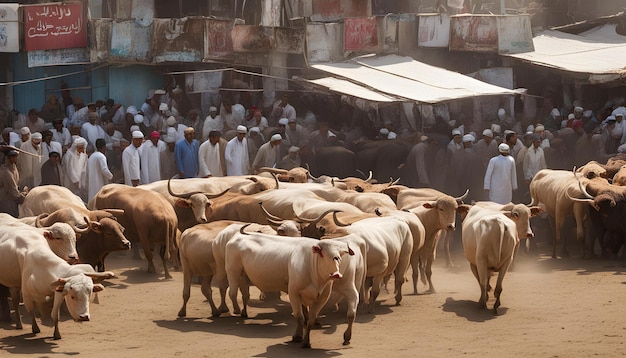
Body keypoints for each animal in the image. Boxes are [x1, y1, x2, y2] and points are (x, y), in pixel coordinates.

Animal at [223, 234, 352, 348]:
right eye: (324, 254)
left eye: (340, 255)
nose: (336, 274)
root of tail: (236, 236)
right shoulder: (293, 293)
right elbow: (299, 316)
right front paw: (297, 336)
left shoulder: (322, 298)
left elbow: (310, 320)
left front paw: (306, 341)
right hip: (232, 271)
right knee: (232, 292)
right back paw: (236, 310)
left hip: (242, 275)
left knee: (245, 294)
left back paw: (243, 313)